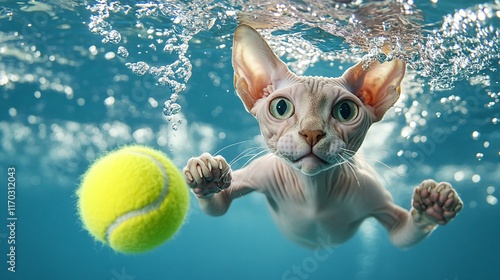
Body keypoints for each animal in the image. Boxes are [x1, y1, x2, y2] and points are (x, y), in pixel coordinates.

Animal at [182, 23, 462, 247]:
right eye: (280, 107)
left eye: (345, 111)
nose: (312, 133)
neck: (313, 193)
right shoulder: (262, 174)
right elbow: (219, 207)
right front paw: (207, 175)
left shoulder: (371, 194)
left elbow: (400, 236)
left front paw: (433, 205)